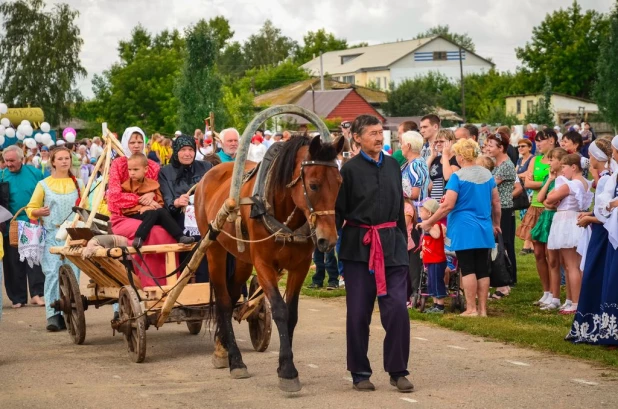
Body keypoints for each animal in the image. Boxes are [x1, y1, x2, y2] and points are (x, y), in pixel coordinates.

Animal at [195, 135, 344, 390]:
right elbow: (280, 310)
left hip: (242, 259)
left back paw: (222, 348)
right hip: (214, 249)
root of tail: (210, 172)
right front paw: (288, 371)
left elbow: (291, 314)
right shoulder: (263, 264)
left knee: (232, 296)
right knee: (223, 302)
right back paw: (236, 361)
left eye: (340, 183)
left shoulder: (300, 266)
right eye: (314, 185)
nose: (329, 240)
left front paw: (285, 365)